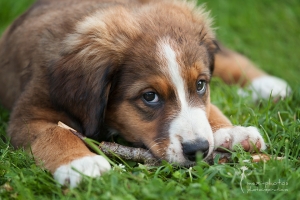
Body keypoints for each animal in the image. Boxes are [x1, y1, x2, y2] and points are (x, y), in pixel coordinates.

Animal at [0, 0, 290, 188]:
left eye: (200, 85)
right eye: (150, 97)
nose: (197, 150)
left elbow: (210, 107)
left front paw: (232, 132)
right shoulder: (29, 113)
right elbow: (55, 133)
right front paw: (82, 164)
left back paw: (267, 84)